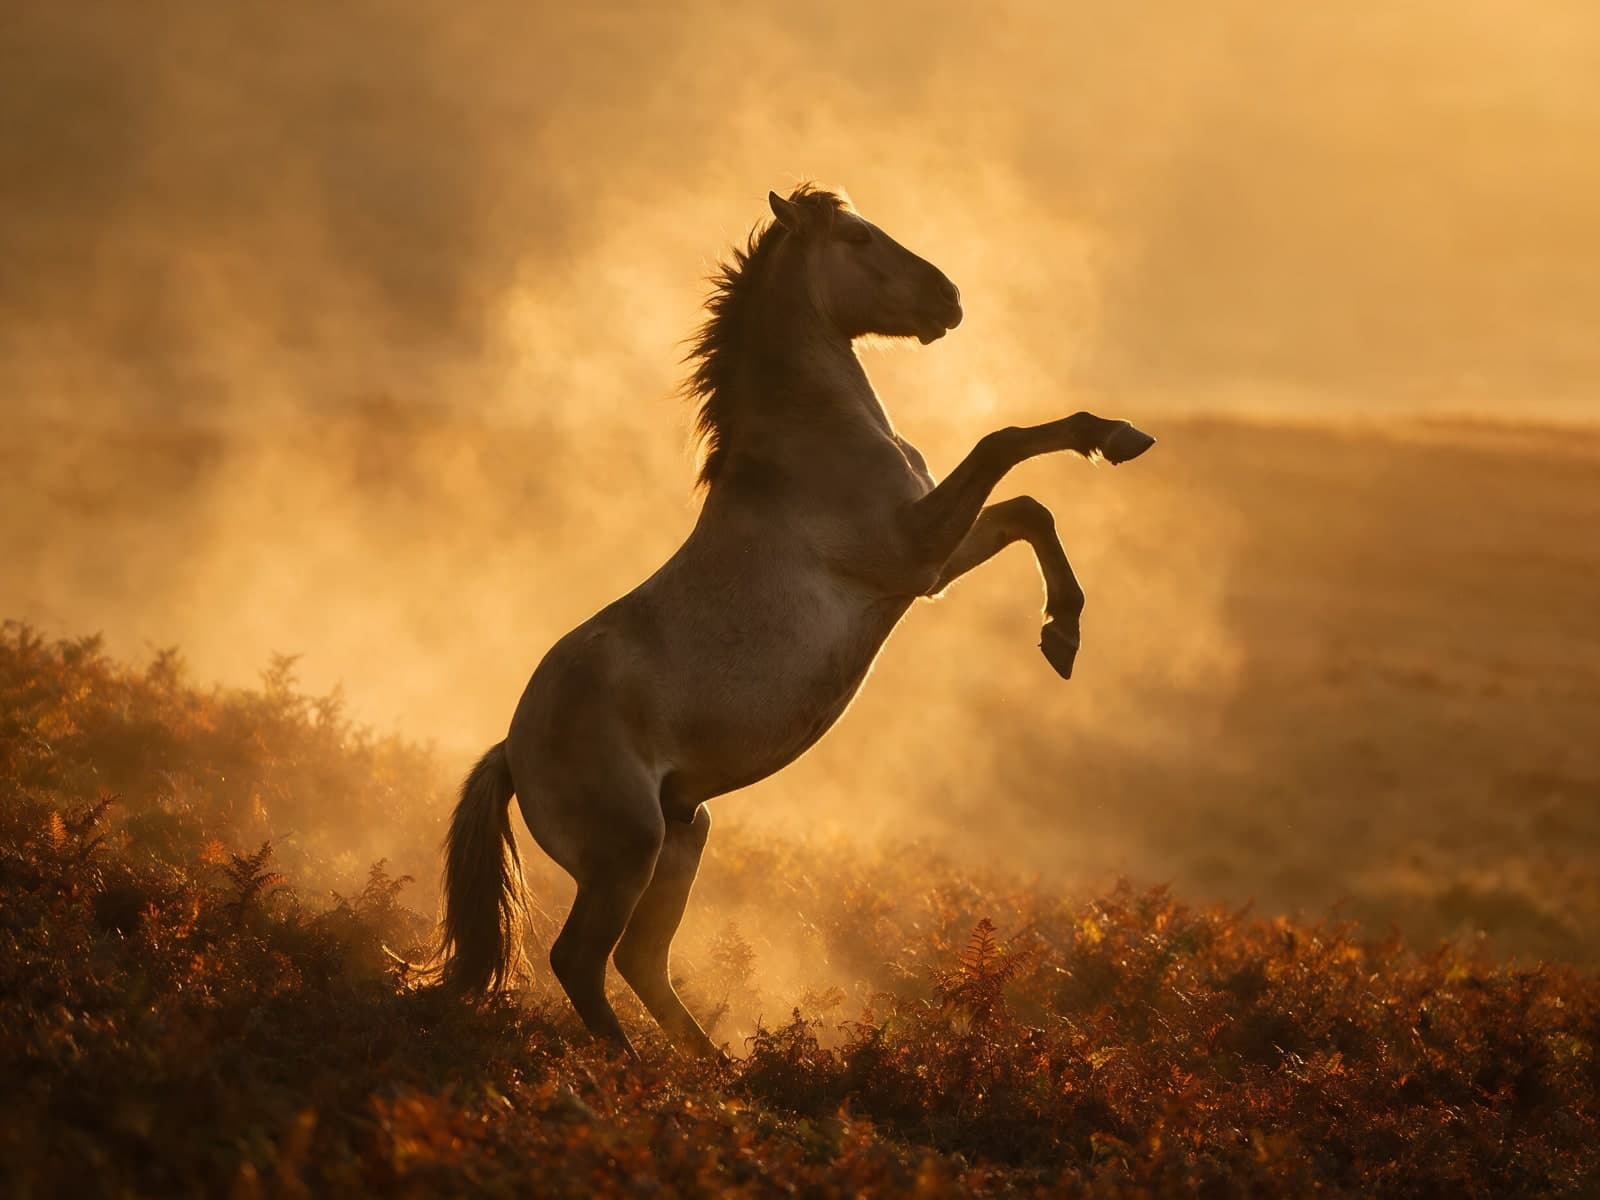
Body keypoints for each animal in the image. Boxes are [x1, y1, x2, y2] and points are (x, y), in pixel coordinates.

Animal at [436, 184, 1154, 1058]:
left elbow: (1028, 508)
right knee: (579, 959)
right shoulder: (913, 548)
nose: (950, 298)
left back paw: (717, 1070)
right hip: (627, 849)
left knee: (641, 959)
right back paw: (632, 1069)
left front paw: (1062, 635)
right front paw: (1115, 440)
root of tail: (512, 749)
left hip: (686, 832)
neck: (810, 443)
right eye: (858, 236)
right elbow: (1007, 443)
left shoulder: (930, 568)